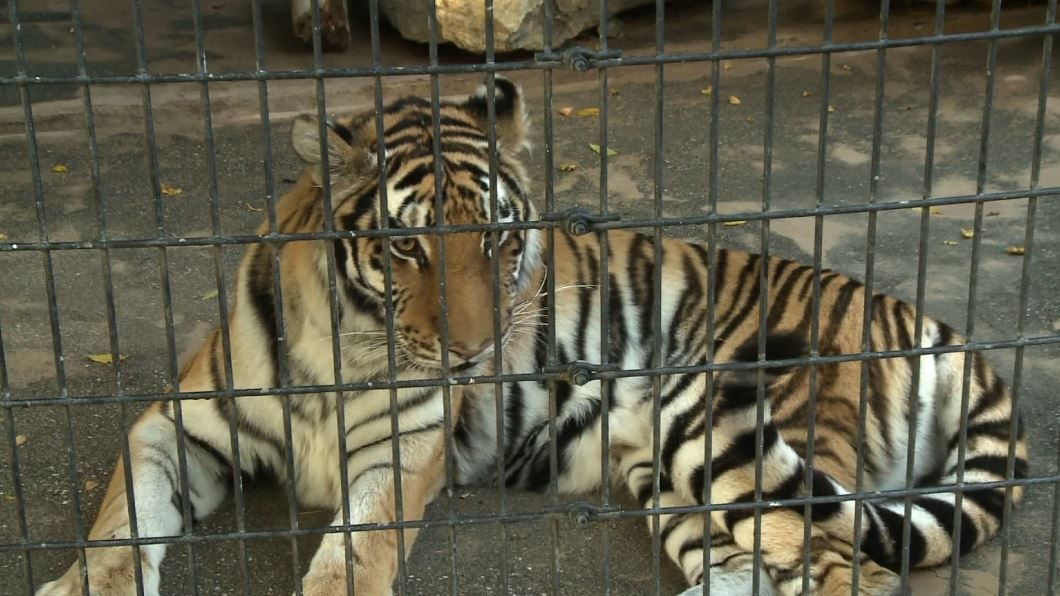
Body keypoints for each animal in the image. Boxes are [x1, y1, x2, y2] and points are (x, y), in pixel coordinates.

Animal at [37, 76, 1026, 596]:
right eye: (406, 244)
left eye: (500, 239)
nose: (476, 356)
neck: (343, 344)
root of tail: (929, 321)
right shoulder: (172, 425)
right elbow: (120, 524)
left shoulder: (400, 454)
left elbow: (353, 552)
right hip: (674, 481)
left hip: (734, 438)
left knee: (843, 571)